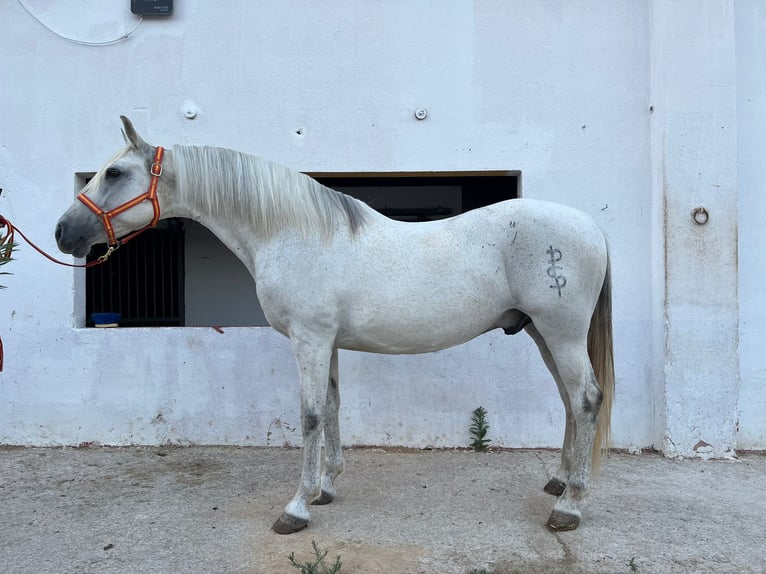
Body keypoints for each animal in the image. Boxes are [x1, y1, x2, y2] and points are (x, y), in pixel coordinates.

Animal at [55, 116, 614, 533]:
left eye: (115, 173)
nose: (63, 232)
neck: (293, 232)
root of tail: (590, 227)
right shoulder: (327, 343)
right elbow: (331, 406)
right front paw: (326, 487)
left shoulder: (309, 340)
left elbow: (308, 416)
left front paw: (296, 508)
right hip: (542, 333)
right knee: (570, 401)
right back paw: (559, 481)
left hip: (560, 332)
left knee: (585, 399)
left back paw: (569, 507)